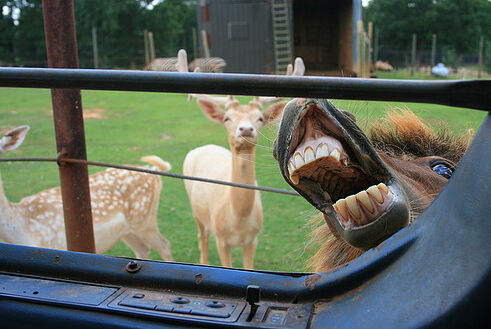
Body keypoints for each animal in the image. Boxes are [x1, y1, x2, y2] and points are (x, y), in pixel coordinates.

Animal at [181, 50, 304, 266]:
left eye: (260, 118)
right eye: (227, 118)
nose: (246, 129)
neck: (237, 220)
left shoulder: (252, 239)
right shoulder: (221, 239)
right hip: (196, 209)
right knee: (202, 236)